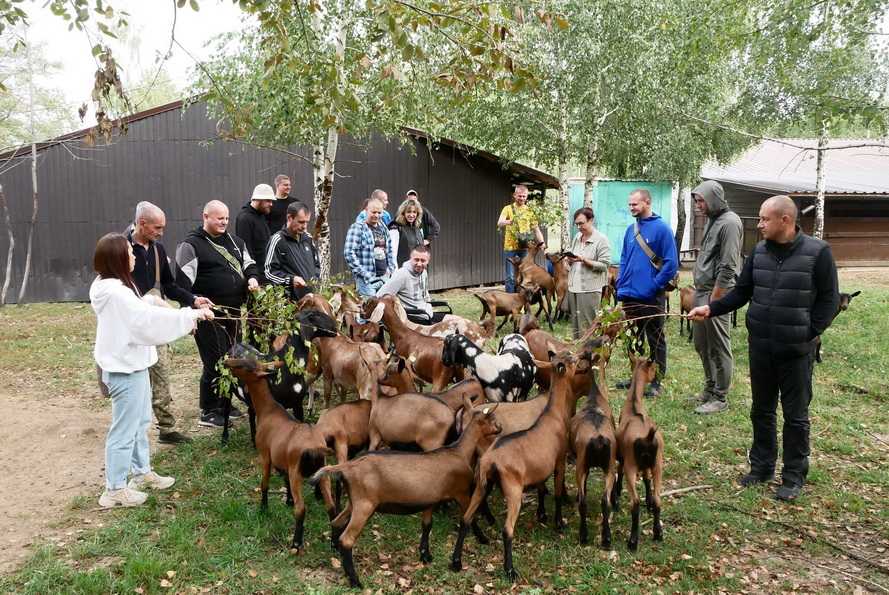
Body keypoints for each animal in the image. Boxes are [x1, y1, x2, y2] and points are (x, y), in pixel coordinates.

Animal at [224, 346, 334, 556]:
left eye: (244, 365)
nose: (226, 361)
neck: (269, 410)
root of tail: (316, 449)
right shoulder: (281, 461)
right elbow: (283, 481)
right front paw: (287, 500)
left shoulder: (266, 456)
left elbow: (264, 483)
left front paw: (263, 508)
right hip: (322, 474)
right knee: (331, 506)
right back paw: (335, 540)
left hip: (297, 473)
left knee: (301, 509)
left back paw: (296, 544)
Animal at [310, 398, 500, 588]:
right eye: (492, 419)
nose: (500, 428)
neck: (459, 452)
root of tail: (348, 466)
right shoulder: (461, 493)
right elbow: (468, 520)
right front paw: (465, 554)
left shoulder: (430, 500)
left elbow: (427, 524)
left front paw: (425, 555)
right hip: (364, 505)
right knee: (347, 539)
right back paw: (355, 580)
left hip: (354, 502)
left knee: (336, 522)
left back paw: (335, 552)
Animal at [454, 352, 580, 580]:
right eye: (571, 360)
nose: (581, 356)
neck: (553, 415)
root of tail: (490, 460)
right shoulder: (559, 461)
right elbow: (557, 492)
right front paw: (558, 523)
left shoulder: (539, 469)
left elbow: (542, 488)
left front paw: (542, 515)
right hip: (513, 490)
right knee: (507, 529)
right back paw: (510, 570)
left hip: (482, 484)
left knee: (466, 518)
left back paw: (456, 561)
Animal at [612, 356, 664, 552]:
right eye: (653, 367)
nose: (659, 374)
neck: (634, 405)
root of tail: (648, 437)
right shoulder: (648, 465)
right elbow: (647, 479)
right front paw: (647, 501)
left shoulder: (622, 456)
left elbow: (618, 470)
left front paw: (617, 491)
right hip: (658, 464)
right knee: (658, 499)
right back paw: (658, 533)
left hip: (632, 467)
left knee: (634, 503)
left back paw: (633, 541)